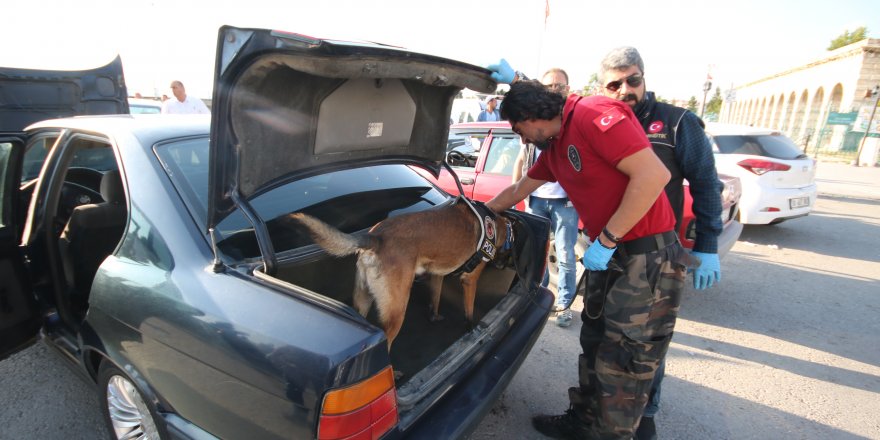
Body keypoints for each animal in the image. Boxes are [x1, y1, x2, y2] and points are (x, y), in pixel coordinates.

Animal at [286, 199, 512, 350]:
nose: (502, 265)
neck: (500, 226)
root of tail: (376, 237)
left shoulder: (437, 276)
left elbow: (435, 298)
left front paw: (434, 316)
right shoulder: (470, 280)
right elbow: (469, 310)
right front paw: (471, 327)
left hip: (363, 300)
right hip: (397, 311)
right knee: (386, 344)